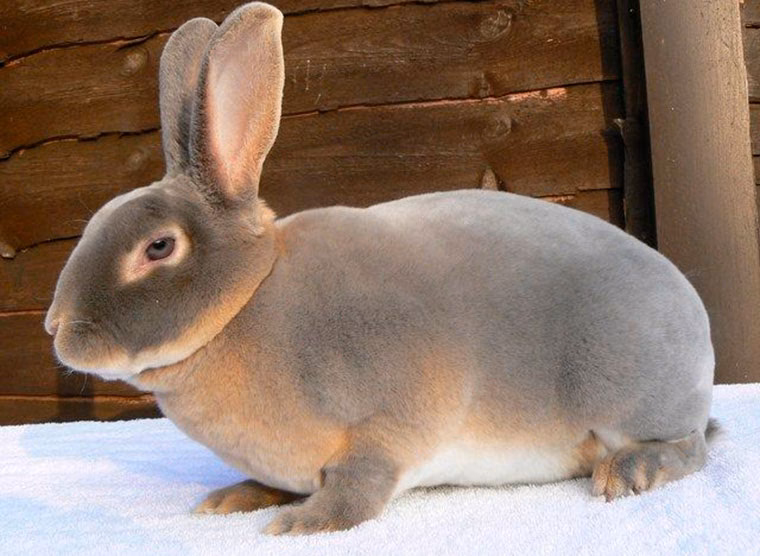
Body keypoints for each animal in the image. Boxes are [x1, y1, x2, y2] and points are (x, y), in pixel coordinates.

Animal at [44, 2, 716, 535]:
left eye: (158, 247)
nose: (56, 326)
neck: (250, 301)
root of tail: (697, 322)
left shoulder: (387, 423)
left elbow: (360, 485)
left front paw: (302, 523)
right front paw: (234, 499)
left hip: (626, 393)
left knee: (690, 448)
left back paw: (628, 473)